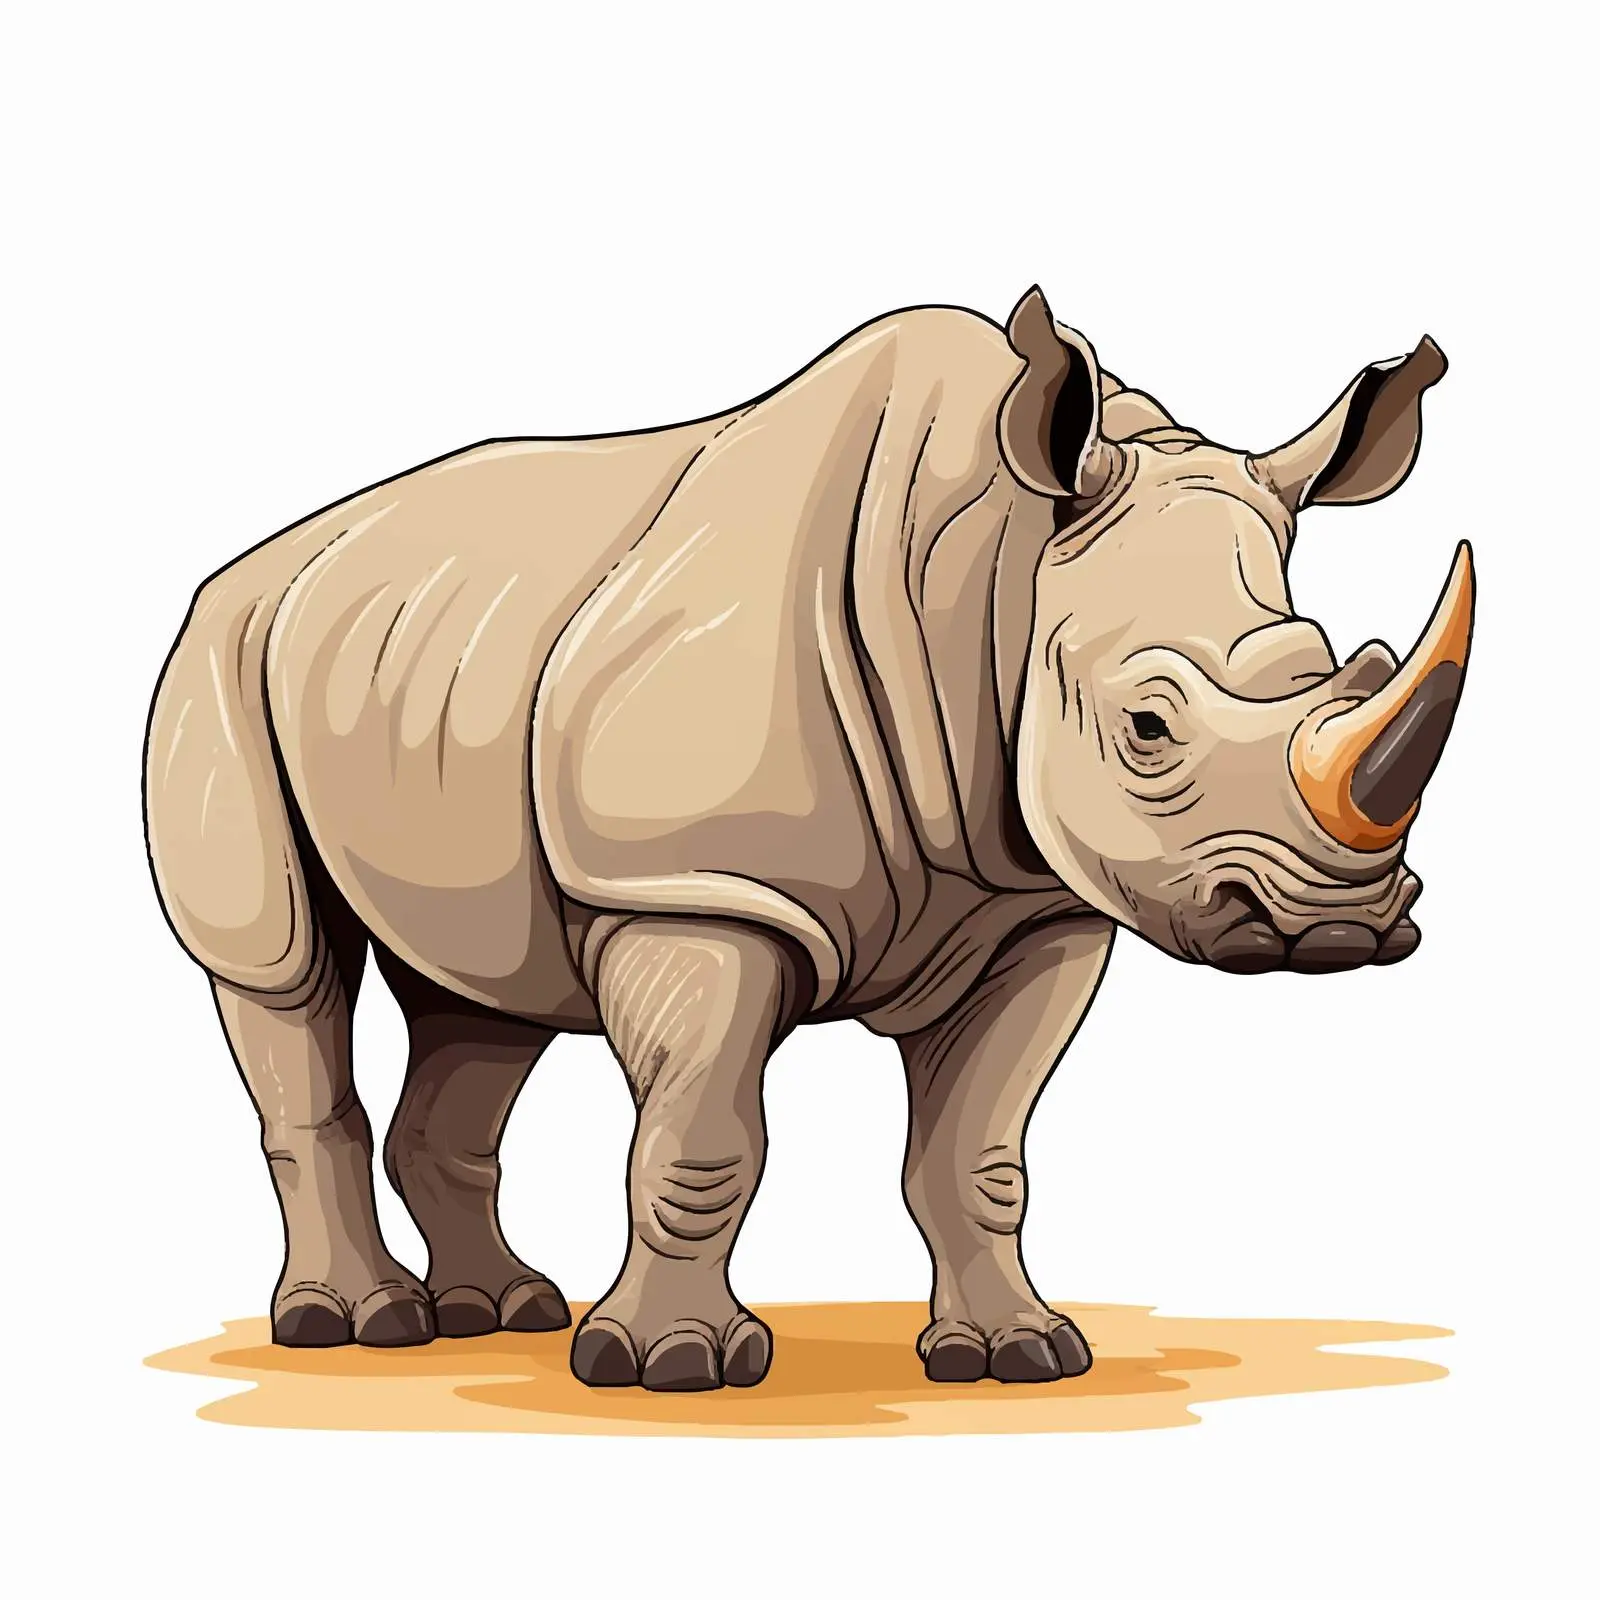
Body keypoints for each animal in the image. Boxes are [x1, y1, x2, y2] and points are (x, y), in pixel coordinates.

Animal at [144, 287, 1471, 1391]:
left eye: (1333, 665)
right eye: (1147, 725)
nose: (1339, 926)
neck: (994, 575)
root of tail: (255, 562)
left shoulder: (1036, 906)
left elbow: (979, 1153)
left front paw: (1019, 1355)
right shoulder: (696, 886)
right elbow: (702, 1141)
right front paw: (667, 1366)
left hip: (426, 663)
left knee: (479, 996)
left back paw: (501, 1312)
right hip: (220, 649)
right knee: (282, 969)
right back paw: (356, 1329)